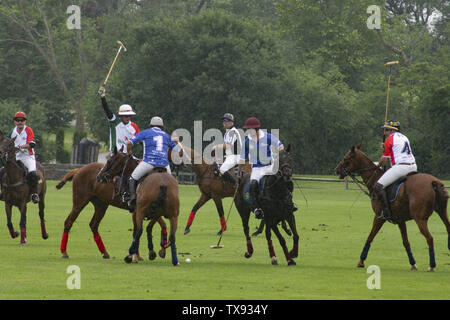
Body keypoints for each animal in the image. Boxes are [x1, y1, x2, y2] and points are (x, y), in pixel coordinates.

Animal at [336, 144, 448, 272]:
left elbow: (370, 237)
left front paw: (361, 262)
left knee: (429, 238)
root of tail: (434, 182)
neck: (374, 179)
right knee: (447, 229)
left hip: (420, 218)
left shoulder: (379, 217)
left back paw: (431, 265)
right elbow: (406, 242)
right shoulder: (400, 220)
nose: (336, 169)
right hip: (442, 212)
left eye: (346, 158)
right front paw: (413, 264)